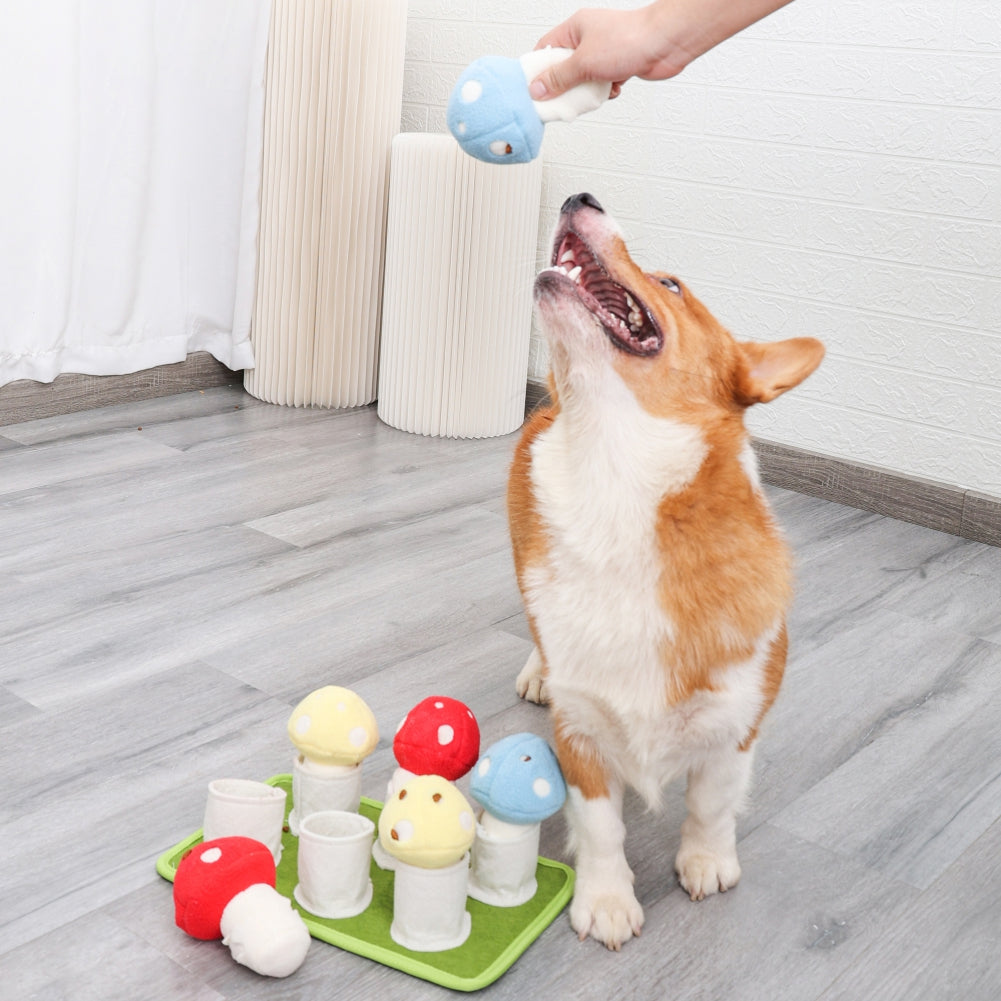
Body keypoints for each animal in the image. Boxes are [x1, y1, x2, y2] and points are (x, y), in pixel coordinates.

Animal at [508, 191, 820, 948]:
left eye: (672, 284)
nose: (579, 195)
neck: (614, 482)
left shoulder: (737, 724)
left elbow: (711, 804)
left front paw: (706, 864)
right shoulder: (581, 733)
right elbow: (600, 828)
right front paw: (607, 901)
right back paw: (536, 670)